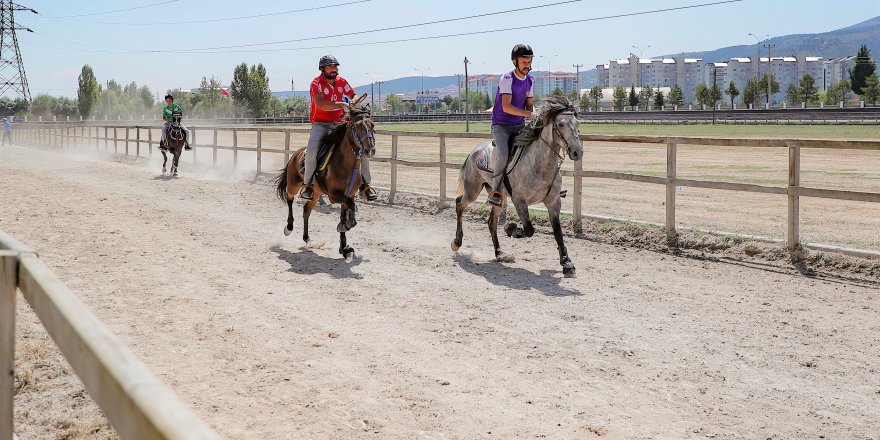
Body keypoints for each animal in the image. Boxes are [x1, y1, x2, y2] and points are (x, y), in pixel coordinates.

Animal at [272, 95, 374, 262]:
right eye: (358, 126)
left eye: (372, 125)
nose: (370, 149)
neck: (345, 163)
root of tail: (295, 155)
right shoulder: (334, 195)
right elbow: (350, 210)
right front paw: (346, 225)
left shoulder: (348, 194)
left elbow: (346, 211)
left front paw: (344, 247)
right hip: (294, 184)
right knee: (289, 199)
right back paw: (289, 227)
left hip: (316, 192)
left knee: (306, 210)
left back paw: (307, 238)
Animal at [454, 96, 584, 276]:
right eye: (560, 124)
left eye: (577, 123)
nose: (577, 152)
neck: (539, 165)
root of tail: (474, 152)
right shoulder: (519, 200)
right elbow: (529, 229)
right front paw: (511, 229)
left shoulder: (553, 202)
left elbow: (558, 232)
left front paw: (567, 263)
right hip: (473, 190)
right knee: (459, 203)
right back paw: (456, 242)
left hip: (498, 197)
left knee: (491, 223)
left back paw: (500, 253)